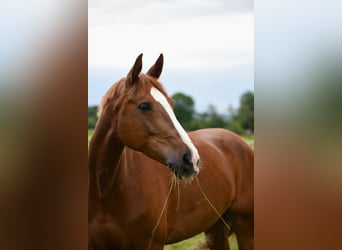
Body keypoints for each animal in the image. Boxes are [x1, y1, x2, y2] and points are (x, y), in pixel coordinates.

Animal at [88, 53, 254, 249]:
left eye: (171, 104)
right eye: (144, 106)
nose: (192, 159)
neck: (104, 192)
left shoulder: (151, 244)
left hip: (245, 226)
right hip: (216, 227)